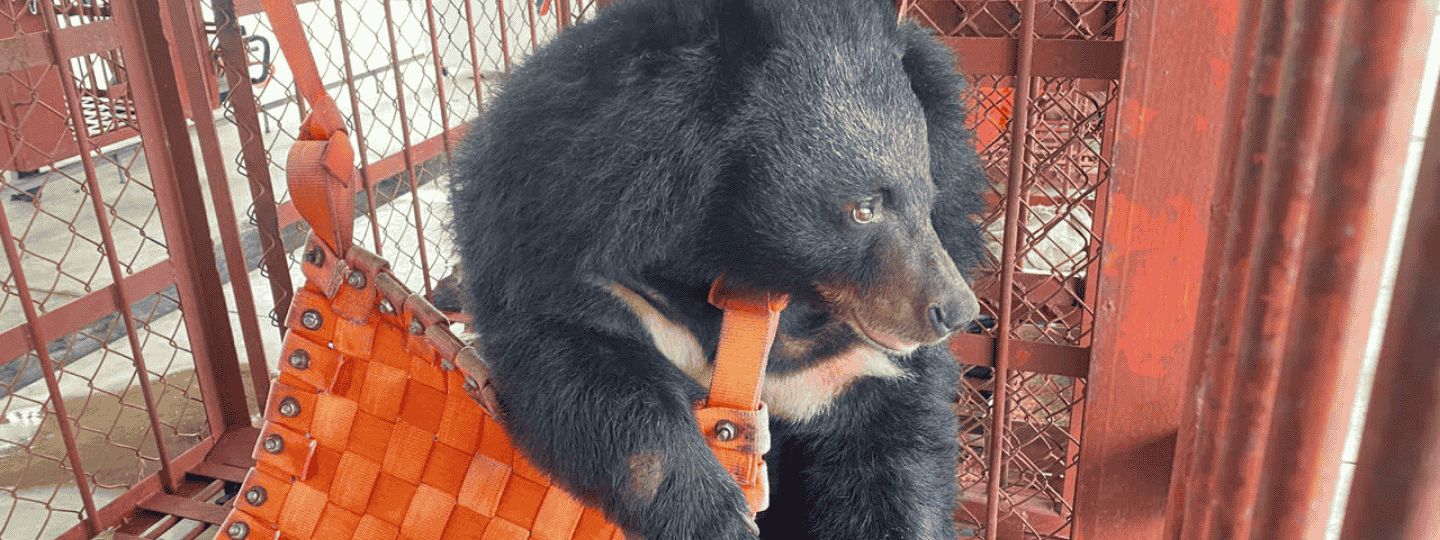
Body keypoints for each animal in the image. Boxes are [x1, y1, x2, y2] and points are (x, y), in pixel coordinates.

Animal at [447, 0, 988, 538]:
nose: (956, 312)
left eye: (930, 199)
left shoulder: (850, 365)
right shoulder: (571, 243)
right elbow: (581, 372)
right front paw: (720, 517)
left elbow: (897, 460)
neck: (746, 269)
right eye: (863, 210)